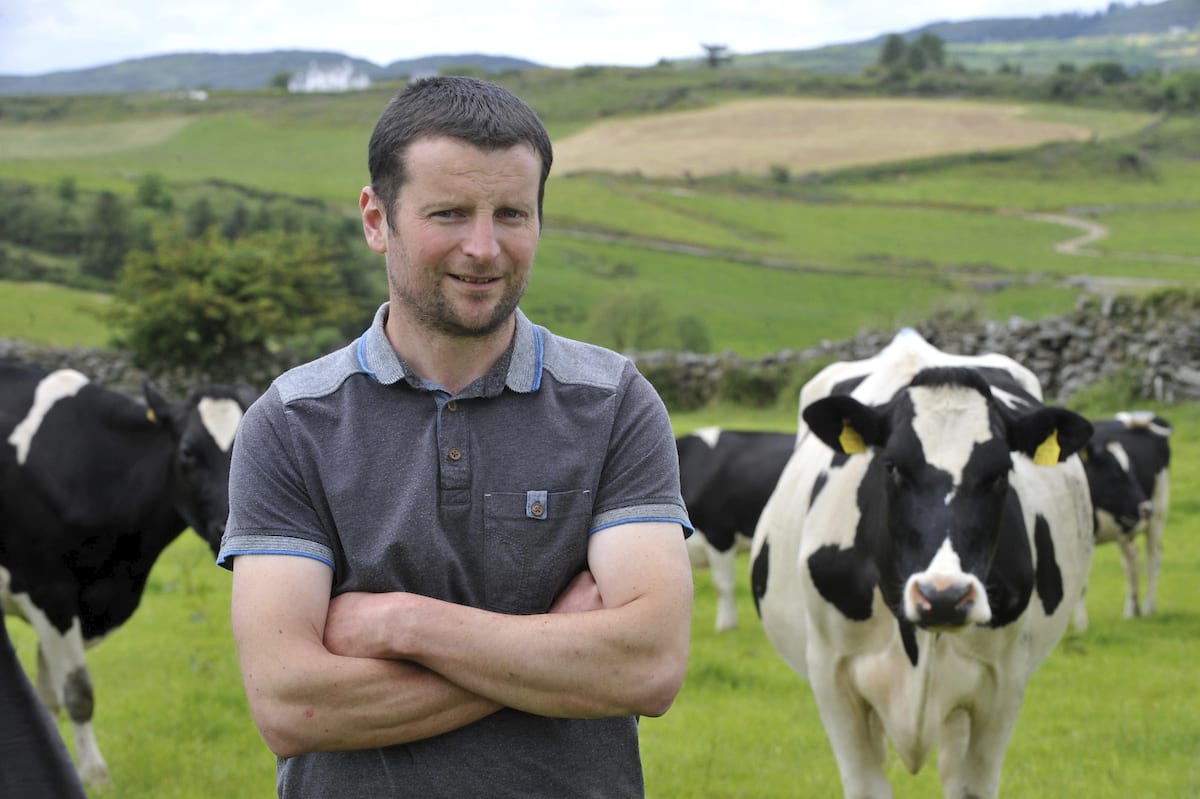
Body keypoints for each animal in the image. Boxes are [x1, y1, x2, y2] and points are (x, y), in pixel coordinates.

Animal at [2, 359, 258, 782]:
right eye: (187, 453)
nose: (233, 527)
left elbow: (49, 696)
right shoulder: (48, 592)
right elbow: (77, 693)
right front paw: (94, 775)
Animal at [748, 328, 1099, 796]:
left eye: (1000, 472)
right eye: (893, 466)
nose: (944, 596)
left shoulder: (1005, 683)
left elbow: (970, 784)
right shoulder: (831, 677)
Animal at [1075, 410, 1166, 628]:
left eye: (1132, 470)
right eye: (1114, 472)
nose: (1145, 508)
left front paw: (1081, 625)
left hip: (1159, 511)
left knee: (1153, 558)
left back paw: (1148, 608)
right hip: (1125, 526)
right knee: (1132, 559)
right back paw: (1132, 611)